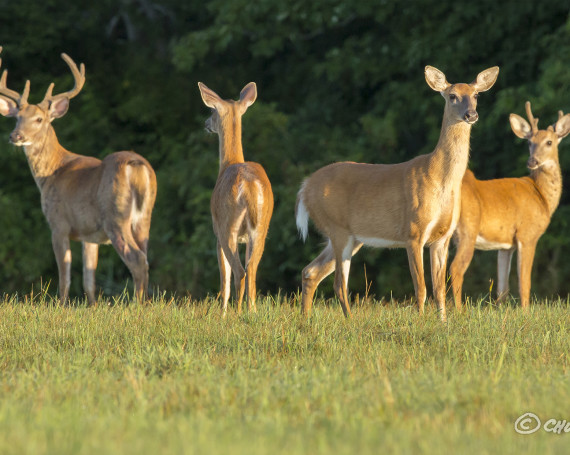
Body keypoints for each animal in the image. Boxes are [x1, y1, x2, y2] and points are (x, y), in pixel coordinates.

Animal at [0, 48, 156, 304]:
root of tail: (136, 165)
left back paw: (136, 305)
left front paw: (61, 305)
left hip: (115, 216)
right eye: (16, 117)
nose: (16, 136)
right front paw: (92, 307)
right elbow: (88, 279)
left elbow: (65, 277)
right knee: (145, 255)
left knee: (137, 260)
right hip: (144, 217)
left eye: (39, 119)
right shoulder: (88, 234)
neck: (51, 172)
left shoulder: (58, 223)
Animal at [197, 82, 272, 316]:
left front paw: (221, 314)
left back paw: (236, 314)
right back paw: (251, 311)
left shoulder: (216, 233)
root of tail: (249, 187)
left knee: (239, 272)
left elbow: (224, 278)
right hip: (262, 227)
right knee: (252, 270)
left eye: (212, 111)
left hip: (227, 226)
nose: (205, 123)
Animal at [292, 65, 496, 320]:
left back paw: (306, 318)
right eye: (452, 96)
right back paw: (349, 321)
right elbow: (421, 286)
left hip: (351, 236)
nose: (471, 115)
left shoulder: (443, 237)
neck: (439, 179)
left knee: (311, 271)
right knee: (339, 282)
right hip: (337, 227)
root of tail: (305, 188)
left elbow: (439, 288)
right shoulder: (413, 232)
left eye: (476, 95)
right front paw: (420, 321)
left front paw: (442, 322)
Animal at [448, 102, 568, 310]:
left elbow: (502, 288)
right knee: (455, 269)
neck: (541, 196)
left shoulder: (505, 246)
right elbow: (524, 282)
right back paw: (458, 310)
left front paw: (500, 310)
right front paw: (526, 312)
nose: (532, 161)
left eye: (549, 142)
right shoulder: (527, 234)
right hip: (468, 230)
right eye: (529, 142)